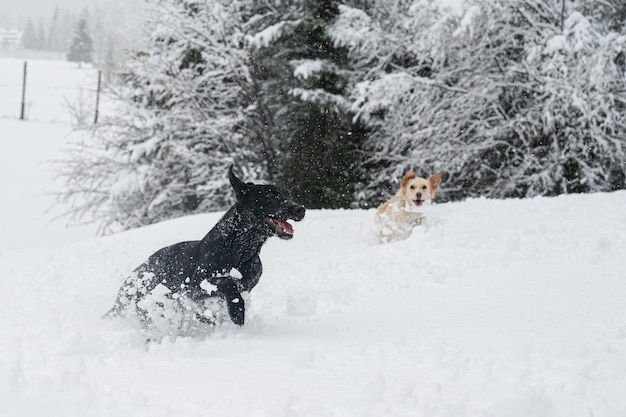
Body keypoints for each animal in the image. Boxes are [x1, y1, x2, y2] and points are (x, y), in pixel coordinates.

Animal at [103, 166, 304, 328]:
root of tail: (141, 268)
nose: (300, 209)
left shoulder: (247, 284)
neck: (239, 249)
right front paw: (237, 311)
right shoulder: (193, 288)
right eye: (270, 196)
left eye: (288, 195)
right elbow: (227, 282)